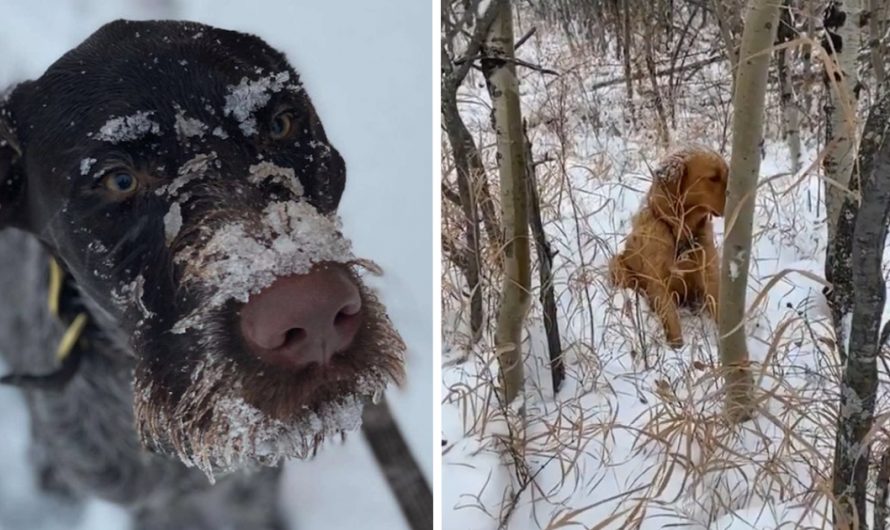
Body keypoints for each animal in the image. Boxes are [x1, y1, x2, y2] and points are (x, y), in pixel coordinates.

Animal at [612, 146, 728, 348]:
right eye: (713, 177)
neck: (680, 232)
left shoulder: (710, 273)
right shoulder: (659, 283)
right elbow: (671, 318)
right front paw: (677, 348)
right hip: (616, 263)